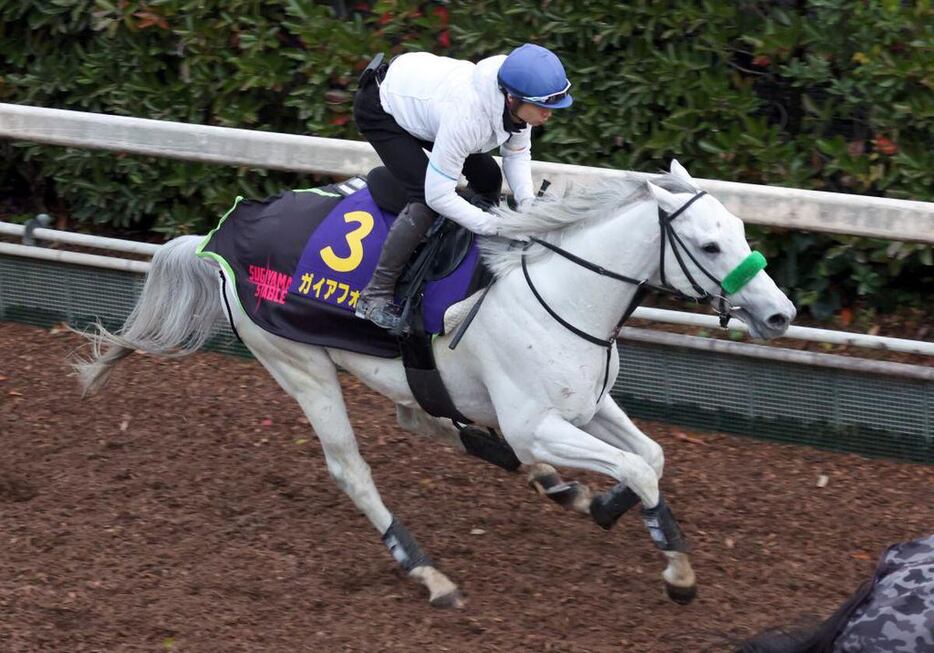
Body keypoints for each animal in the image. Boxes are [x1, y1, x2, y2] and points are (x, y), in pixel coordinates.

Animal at [75, 160, 796, 608]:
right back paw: (428, 570)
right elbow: (640, 468)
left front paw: (603, 504)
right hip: (299, 364)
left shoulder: (585, 404)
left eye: (739, 231)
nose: (780, 313)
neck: (562, 292)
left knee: (421, 418)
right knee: (352, 466)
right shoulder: (535, 422)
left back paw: (551, 483)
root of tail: (217, 236)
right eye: (709, 246)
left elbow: (651, 456)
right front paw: (676, 570)